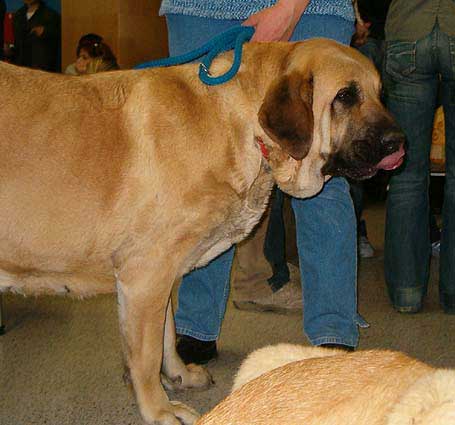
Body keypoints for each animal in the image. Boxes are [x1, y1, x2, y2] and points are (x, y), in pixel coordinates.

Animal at [0, 38, 406, 422]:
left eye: (380, 92)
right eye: (345, 96)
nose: (399, 142)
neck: (242, 123)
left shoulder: (160, 280)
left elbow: (166, 335)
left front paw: (178, 375)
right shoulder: (144, 276)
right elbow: (146, 355)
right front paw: (158, 409)